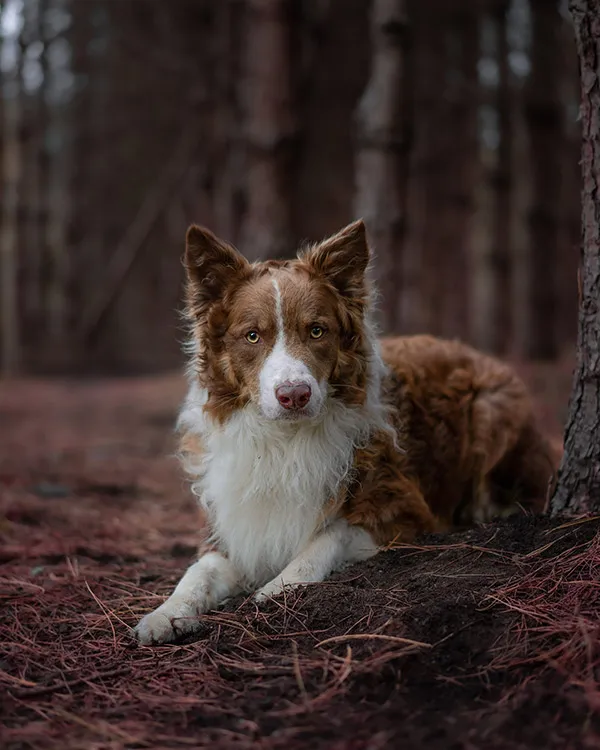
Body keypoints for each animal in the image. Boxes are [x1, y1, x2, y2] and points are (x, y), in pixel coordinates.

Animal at [136, 219, 556, 648]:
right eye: (253, 336)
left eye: (317, 331)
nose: (294, 394)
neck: (285, 441)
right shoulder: (234, 526)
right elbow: (197, 572)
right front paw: (165, 613)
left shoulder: (404, 510)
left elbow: (326, 538)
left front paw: (278, 588)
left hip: (492, 409)